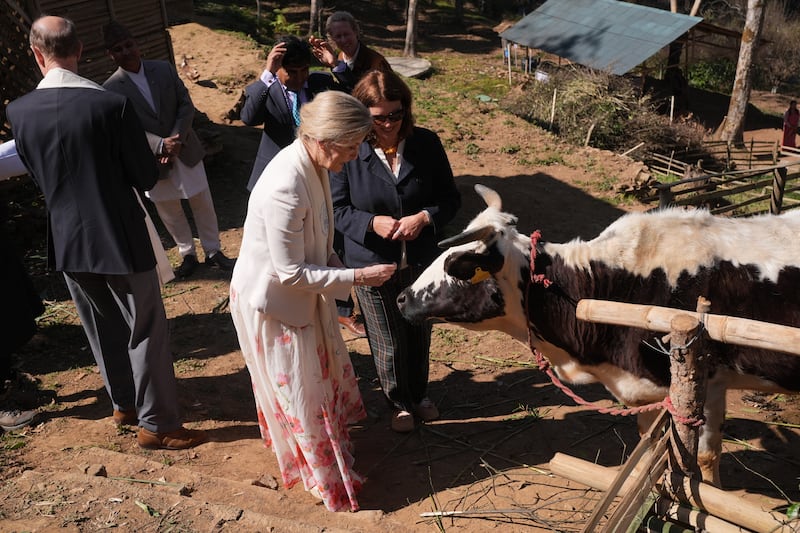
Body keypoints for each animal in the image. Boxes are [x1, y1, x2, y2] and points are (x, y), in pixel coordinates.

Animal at [396, 183, 800, 482]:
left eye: (455, 265)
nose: (400, 298)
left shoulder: (704, 382)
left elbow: (701, 458)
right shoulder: (658, 389)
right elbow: (658, 448)